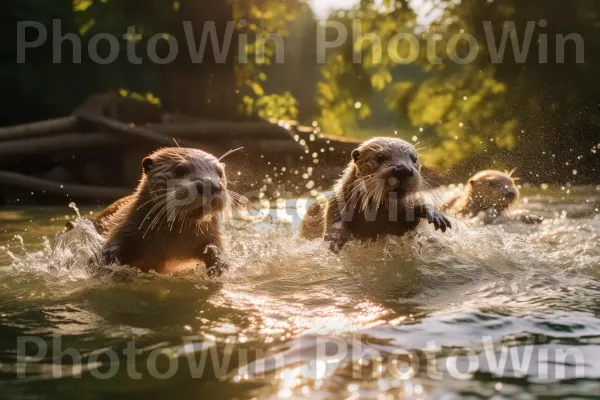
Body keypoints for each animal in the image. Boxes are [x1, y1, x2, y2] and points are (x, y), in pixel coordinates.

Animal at [97, 147, 236, 276]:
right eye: (180, 171)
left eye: (220, 173)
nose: (210, 185)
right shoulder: (126, 227)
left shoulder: (211, 236)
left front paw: (218, 264)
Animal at [300, 138, 450, 250]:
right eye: (380, 157)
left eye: (414, 159)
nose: (403, 169)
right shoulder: (337, 202)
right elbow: (335, 223)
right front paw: (336, 239)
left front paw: (431, 211)